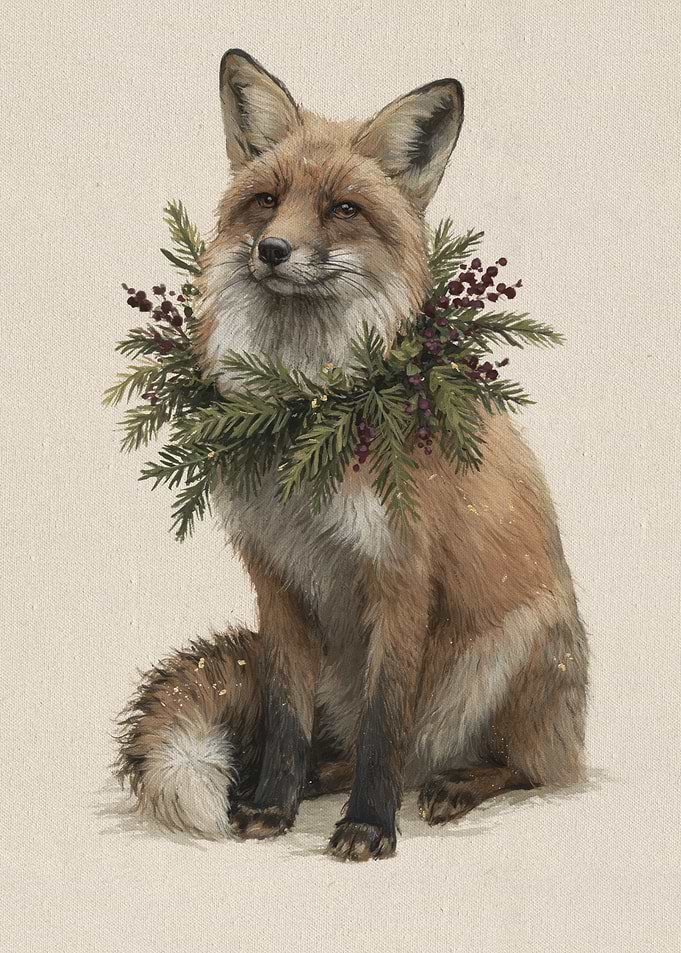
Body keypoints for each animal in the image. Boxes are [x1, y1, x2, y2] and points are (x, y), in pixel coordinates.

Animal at [116, 49, 588, 861]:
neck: (306, 410)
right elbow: (285, 717)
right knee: (342, 740)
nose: (272, 251)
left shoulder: (398, 574)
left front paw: (369, 824)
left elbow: (383, 723)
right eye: (266, 201)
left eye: (343, 209)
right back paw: (312, 779)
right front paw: (271, 803)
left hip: (518, 653)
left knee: (516, 766)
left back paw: (452, 784)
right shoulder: (275, 572)